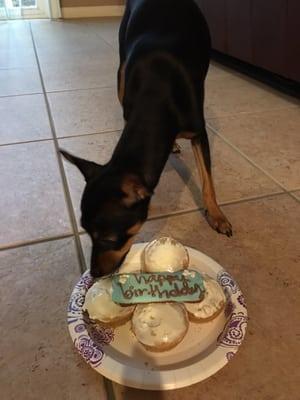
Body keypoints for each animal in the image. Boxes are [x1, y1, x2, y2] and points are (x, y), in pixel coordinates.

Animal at [60, 0, 232, 276]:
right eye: (85, 232)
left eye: (108, 239)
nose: (94, 273)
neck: (157, 92)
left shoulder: (199, 132)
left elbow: (208, 180)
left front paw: (216, 216)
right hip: (121, 68)